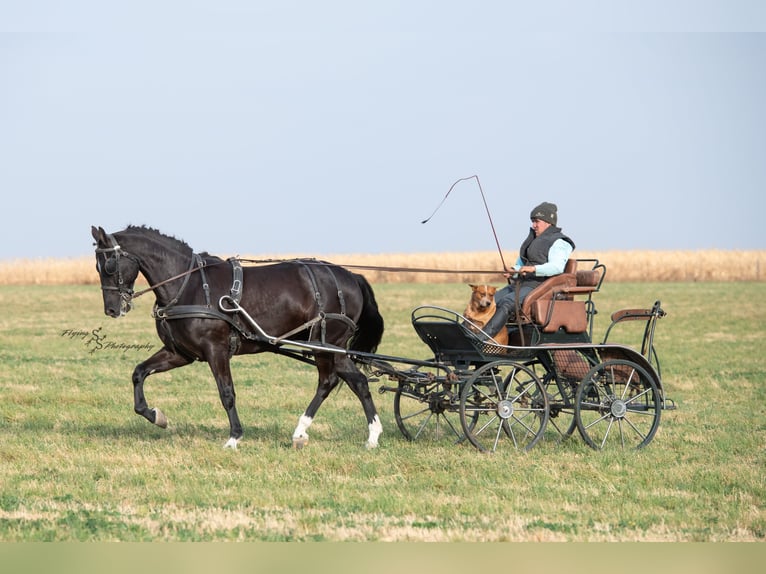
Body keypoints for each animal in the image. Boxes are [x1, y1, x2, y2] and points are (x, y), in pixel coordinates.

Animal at [91, 225, 385, 449]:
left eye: (109, 265)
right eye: (96, 266)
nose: (112, 309)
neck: (189, 285)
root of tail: (351, 276)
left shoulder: (216, 350)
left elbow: (227, 392)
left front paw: (234, 437)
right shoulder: (180, 353)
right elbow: (139, 373)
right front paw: (156, 415)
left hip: (324, 344)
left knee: (327, 381)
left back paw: (300, 432)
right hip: (336, 348)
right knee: (358, 381)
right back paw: (372, 436)